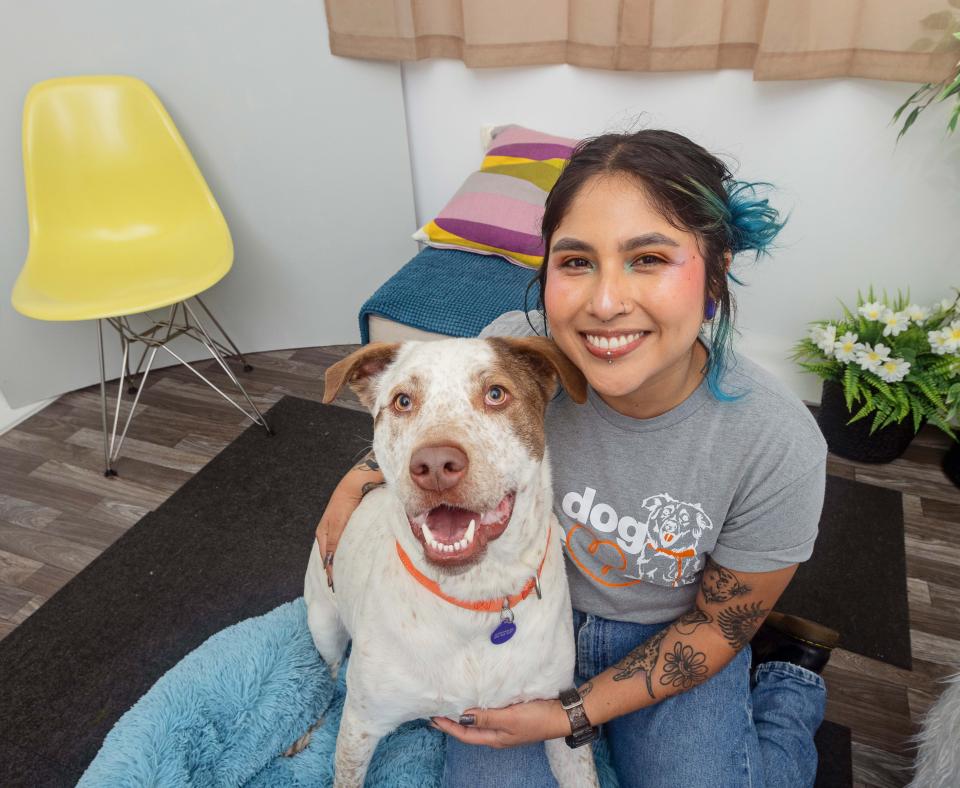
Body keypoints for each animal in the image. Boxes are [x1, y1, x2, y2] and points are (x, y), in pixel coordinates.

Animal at [300, 338, 600, 788]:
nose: (435, 466)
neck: (475, 595)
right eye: (403, 401)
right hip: (324, 626)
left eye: (496, 393)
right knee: (329, 678)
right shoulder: (360, 727)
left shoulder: (558, 719)